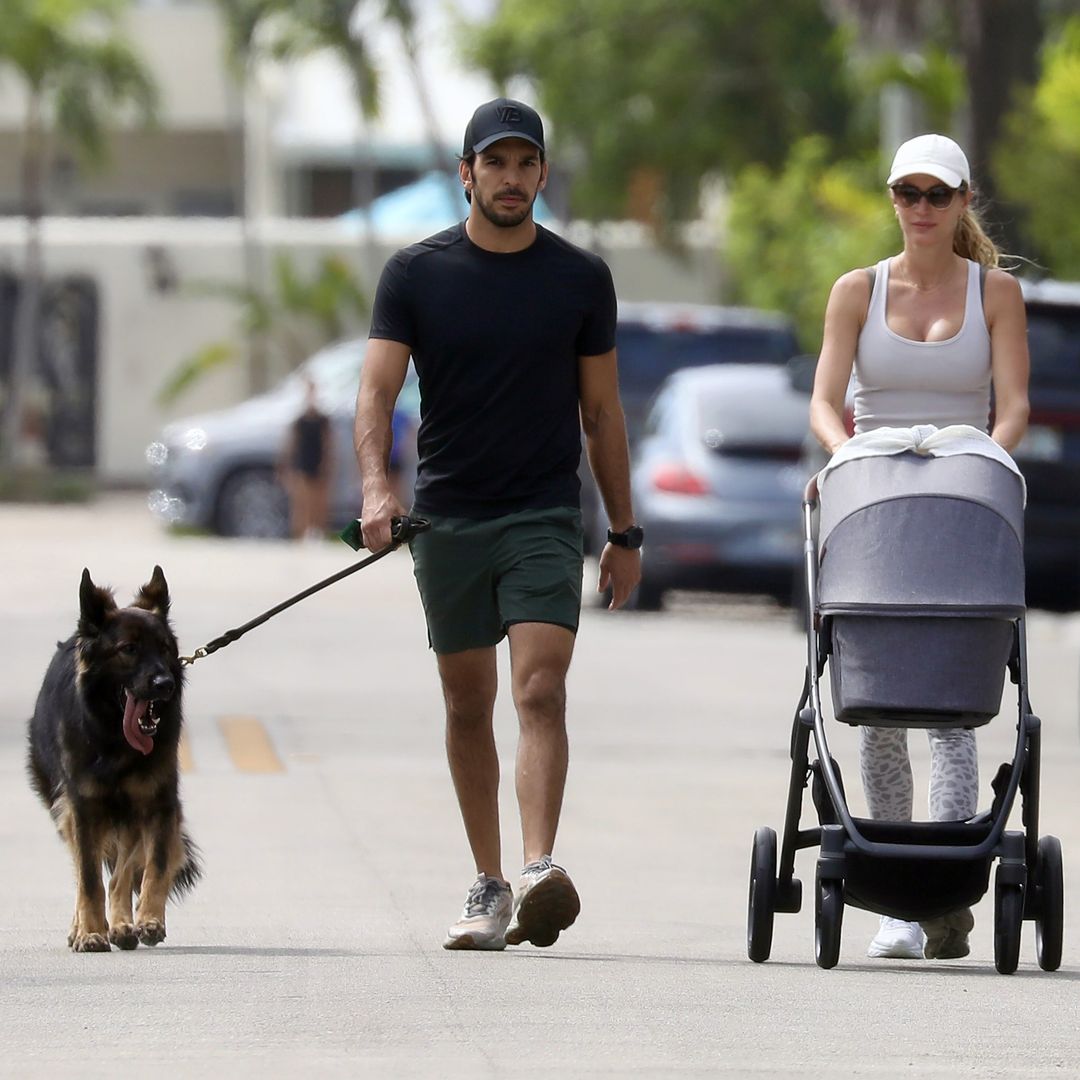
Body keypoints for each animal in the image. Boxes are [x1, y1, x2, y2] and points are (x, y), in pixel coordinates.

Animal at [26, 565, 200, 954]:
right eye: (128, 649)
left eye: (164, 649)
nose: (165, 684)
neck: (115, 739)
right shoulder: (84, 809)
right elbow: (89, 879)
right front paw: (90, 932)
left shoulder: (157, 805)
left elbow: (152, 867)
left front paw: (148, 920)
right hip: (71, 813)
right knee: (85, 872)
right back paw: (84, 928)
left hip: (130, 816)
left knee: (121, 874)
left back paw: (122, 926)